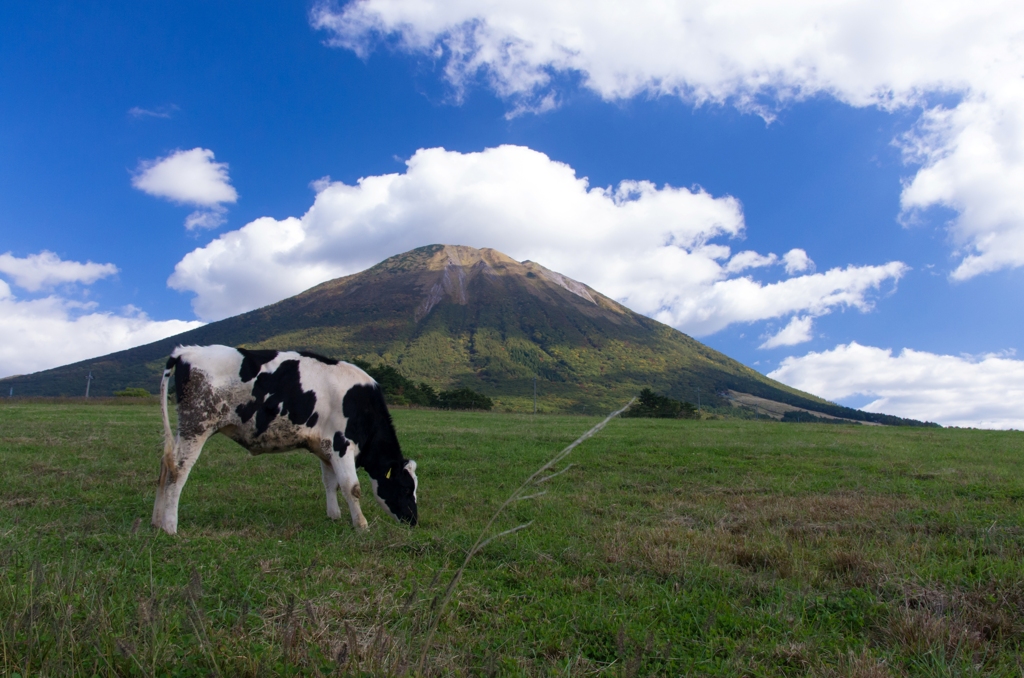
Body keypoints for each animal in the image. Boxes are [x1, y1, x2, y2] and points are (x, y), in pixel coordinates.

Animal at [150, 346, 419, 536]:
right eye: (406, 488)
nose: (414, 521)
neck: (363, 406)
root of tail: (185, 351)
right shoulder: (341, 445)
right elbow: (351, 487)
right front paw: (361, 525)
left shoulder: (325, 449)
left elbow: (330, 484)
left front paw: (333, 516)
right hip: (197, 425)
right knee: (178, 470)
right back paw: (170, 527)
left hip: (185, 428)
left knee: (165, 465)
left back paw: (156, 522)